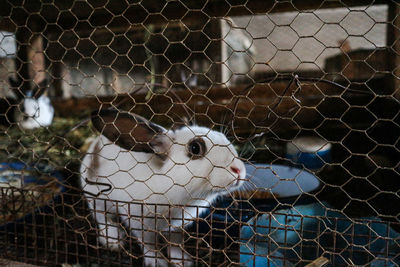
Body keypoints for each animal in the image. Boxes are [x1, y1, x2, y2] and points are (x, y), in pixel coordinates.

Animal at [79, 109, 245, 267]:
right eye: (195, 148)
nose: (238, 170)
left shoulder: (176, 227)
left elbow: (175, 242)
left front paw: (183, 261)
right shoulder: (140, 224)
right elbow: (149, 245)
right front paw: (157, 262)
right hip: (97, 199)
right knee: (103, 218)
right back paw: (114, 241)